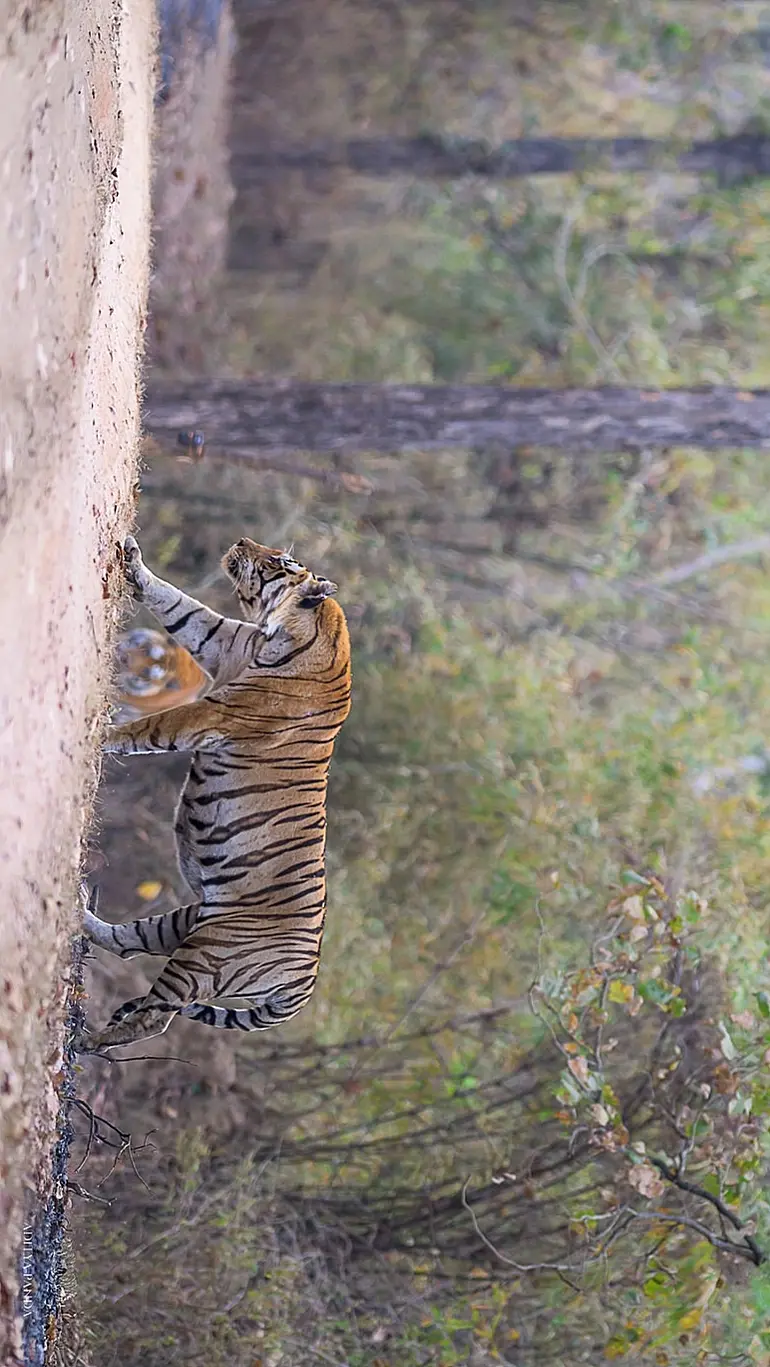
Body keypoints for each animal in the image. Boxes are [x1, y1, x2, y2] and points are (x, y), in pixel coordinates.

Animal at [76, 534, 351, 1052]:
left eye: (282, 562)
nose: (242, 540)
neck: (285, 631)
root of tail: (306, 982)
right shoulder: (222, 641)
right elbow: (180, 606)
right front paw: (134, 561)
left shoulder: (210, 715)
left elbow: (151, 727)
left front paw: (103, 734)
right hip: (187, 923)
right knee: (127, 944)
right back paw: (80, 919)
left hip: (209, 952)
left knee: (156, 1016)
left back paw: (91, 1042)